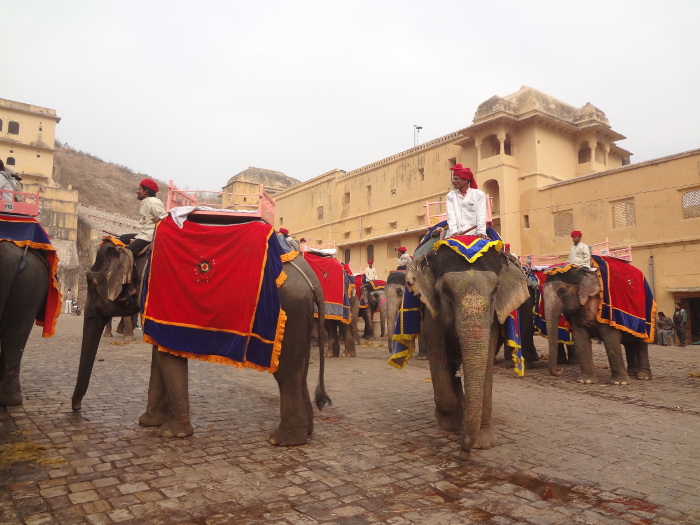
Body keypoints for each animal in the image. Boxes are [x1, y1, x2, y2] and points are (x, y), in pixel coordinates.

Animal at [408, 242, 528, 458]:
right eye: (446, 290)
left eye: (495, 289)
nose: (463, 456)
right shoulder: (431, 309)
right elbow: (437, 349)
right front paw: (452, 424)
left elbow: (487, 358)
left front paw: (484, 443)